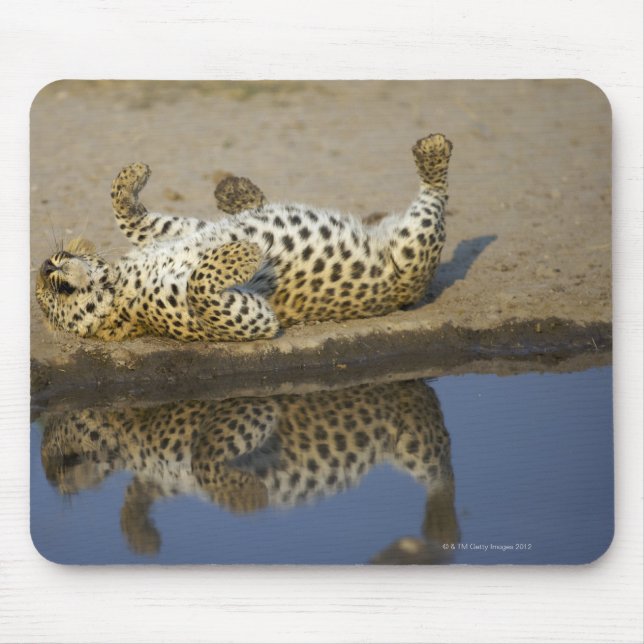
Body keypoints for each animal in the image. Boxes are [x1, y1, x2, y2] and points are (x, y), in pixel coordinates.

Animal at [35, 133, 452, 342]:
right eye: (55, 292)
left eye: (54, 265)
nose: (45, 266)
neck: (121, 280)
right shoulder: (250, 321)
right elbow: (199, 286)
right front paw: (245, 251)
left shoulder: (180, 233)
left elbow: (133, 216)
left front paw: (132, 174)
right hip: (411, 251)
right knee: (435, 193)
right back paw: (433, 152)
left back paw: (236, 191)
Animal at [39, 379, 460, 562]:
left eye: (59, 461)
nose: (46, 478)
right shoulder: (169, 476)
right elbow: (138, 490)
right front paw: (141, 537)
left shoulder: (249, 407)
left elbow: (204, 456)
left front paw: (254, 497)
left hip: (412, 439)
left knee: (442, 469)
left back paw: (442, 525)